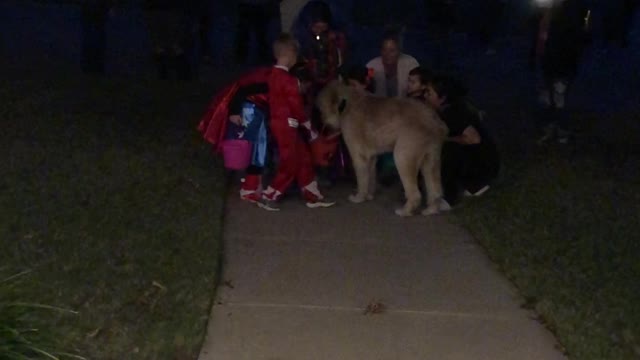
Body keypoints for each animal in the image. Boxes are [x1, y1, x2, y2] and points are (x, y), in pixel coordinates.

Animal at [316, 81, 450, 217]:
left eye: (321, 109)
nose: (322, 127)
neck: (346, 103)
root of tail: (436, 122)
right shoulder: (371, 156)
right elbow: (370, 176)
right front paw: (369, 196)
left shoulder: (358, 154)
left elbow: (362, 178)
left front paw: (358, 198)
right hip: (431, 159)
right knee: (435, 188)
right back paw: (431, 210)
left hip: (403, 155)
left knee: (415, 194)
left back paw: (404, 211)